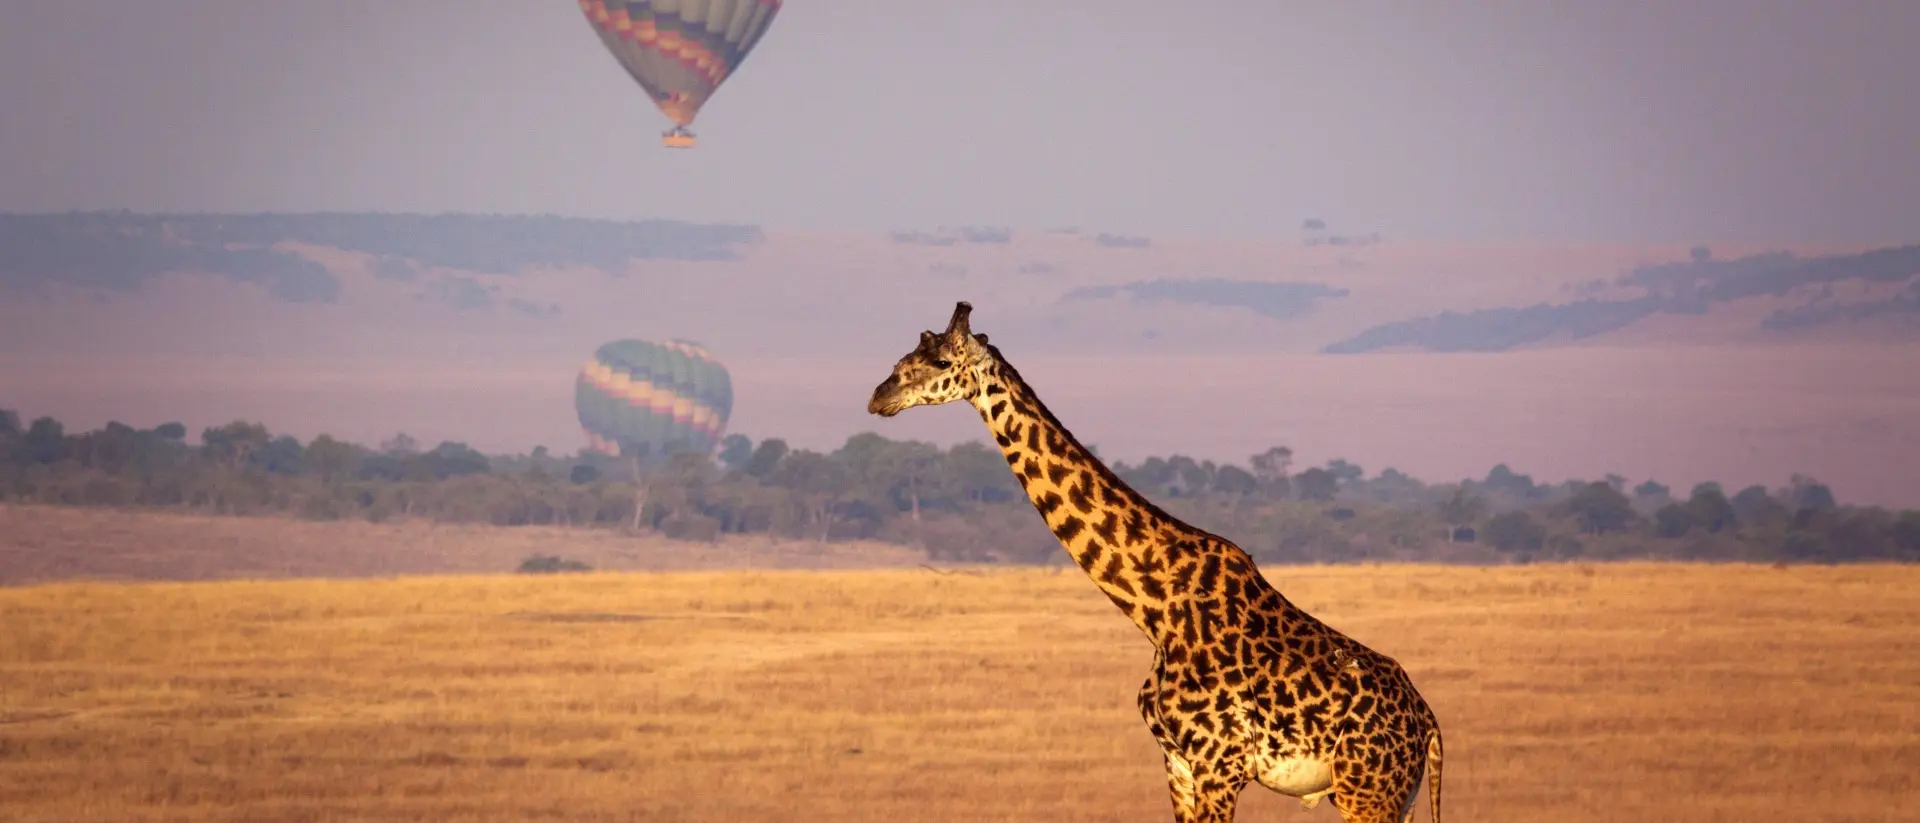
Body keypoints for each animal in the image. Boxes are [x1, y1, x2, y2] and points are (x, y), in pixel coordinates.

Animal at [866, 302, 1444, 823]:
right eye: (905, 355)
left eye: (940, 361)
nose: (879, 396)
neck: (1155, 607)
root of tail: (1429, 725)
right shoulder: (1178, 763)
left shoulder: (1220, 764)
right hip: (1399, 798)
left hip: (1366, 792)